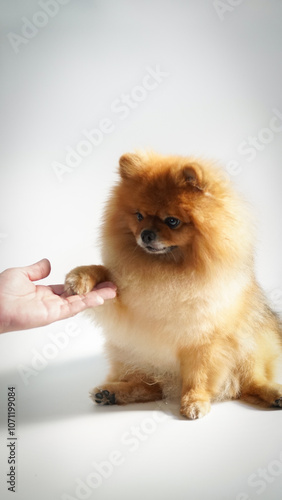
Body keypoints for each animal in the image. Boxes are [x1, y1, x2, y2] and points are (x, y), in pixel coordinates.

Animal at [65, 151, 282, 418]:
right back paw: (113, 392)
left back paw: (273, 393)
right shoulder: (123, 298)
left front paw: (194, 400)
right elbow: (101, 272)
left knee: (251, 382)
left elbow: (198, 375)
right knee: (151, 386)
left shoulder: (205, 337)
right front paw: (79, 278)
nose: (145, 234)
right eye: (139, 216)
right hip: (128, 353)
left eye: (172, 221)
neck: (167, 271)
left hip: (253, 342)